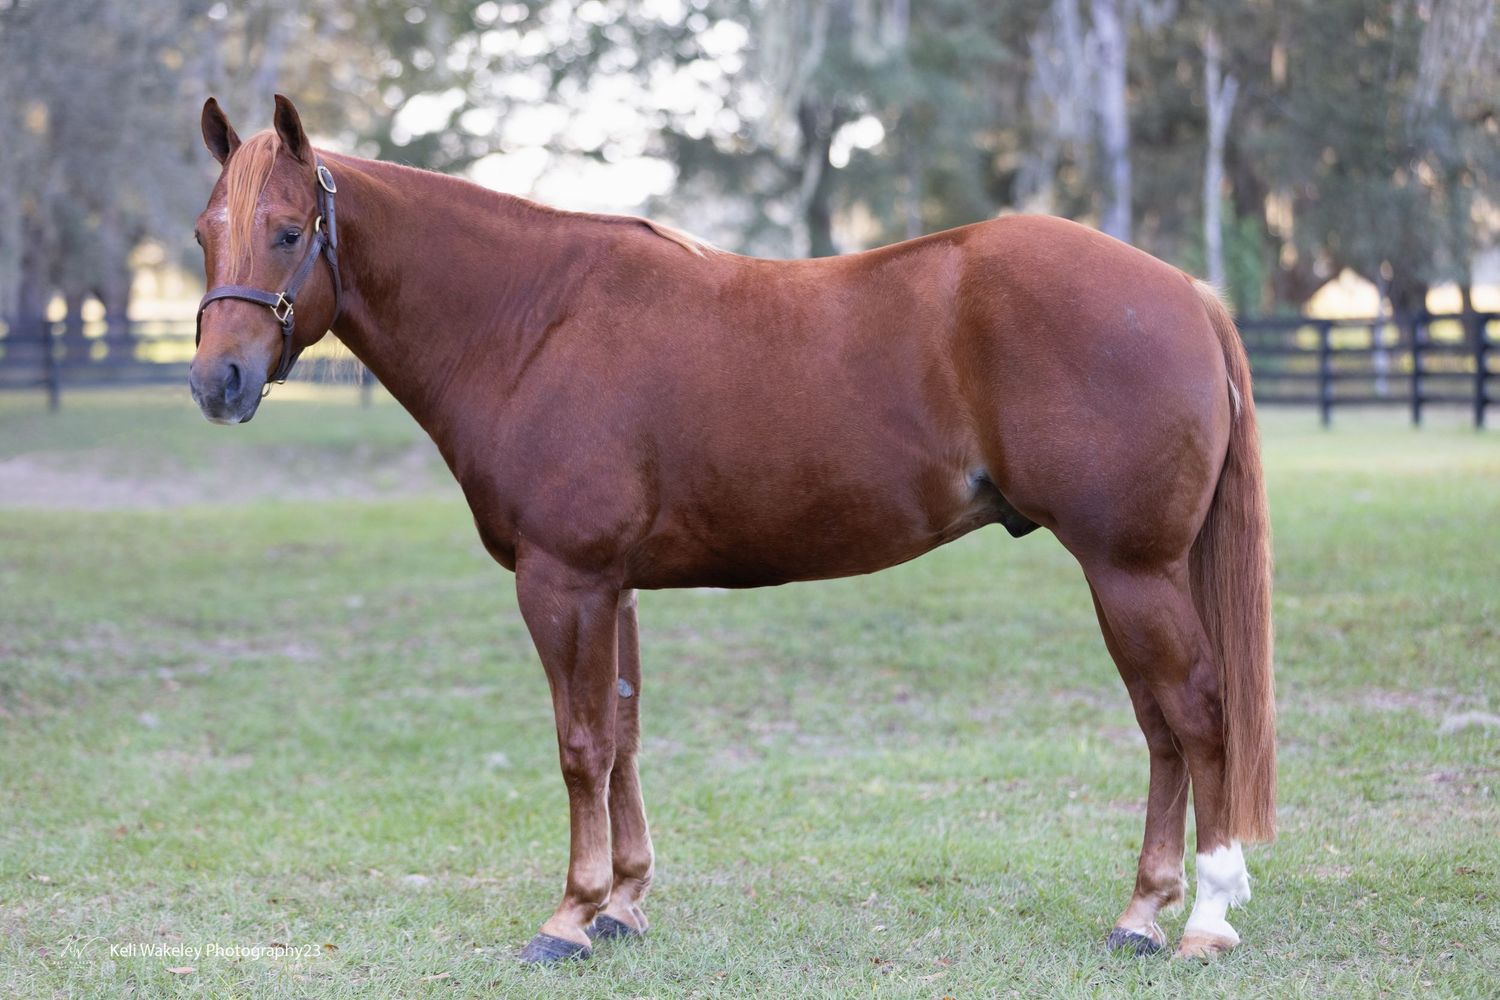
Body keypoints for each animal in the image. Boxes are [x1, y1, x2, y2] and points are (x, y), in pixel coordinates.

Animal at [189, 95, 1275, 964]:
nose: (216, 382)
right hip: (1131, 576)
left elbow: (580, 742)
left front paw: (568, 917)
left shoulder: (562, 580)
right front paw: (622, 903)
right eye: (206, 231)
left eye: (286, 230)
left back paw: (1203, 919)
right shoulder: (612, 583)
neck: (533, 322)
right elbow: (624, 733)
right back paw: (1142, 913)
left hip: (1129, 569)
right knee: (1161, 728)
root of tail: (1187, 292)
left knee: (1195, 712)